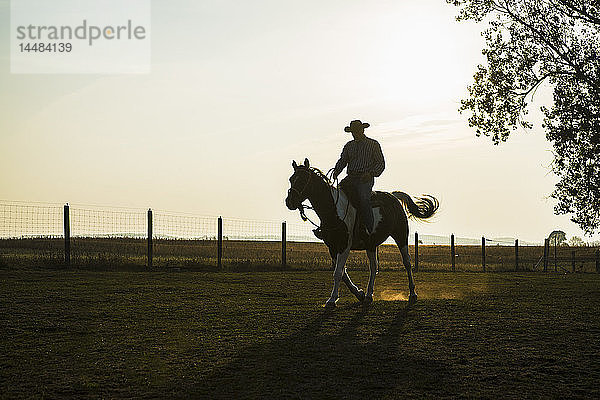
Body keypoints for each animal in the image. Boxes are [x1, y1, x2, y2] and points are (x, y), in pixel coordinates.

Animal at [284, 158, 438, 308]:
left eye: (303, 180)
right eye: (291, 179)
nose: (289, 202)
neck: (334, 211)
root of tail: (393, 196)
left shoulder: (344, 246)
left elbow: (338, 272)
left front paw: (332, 300)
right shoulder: (332, 247)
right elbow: (342, 273)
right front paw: (359, 293)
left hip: (401, 236)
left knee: (407, 263)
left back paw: (412, 294)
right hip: (371, 245)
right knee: (374, 267)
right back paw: (369, 295)